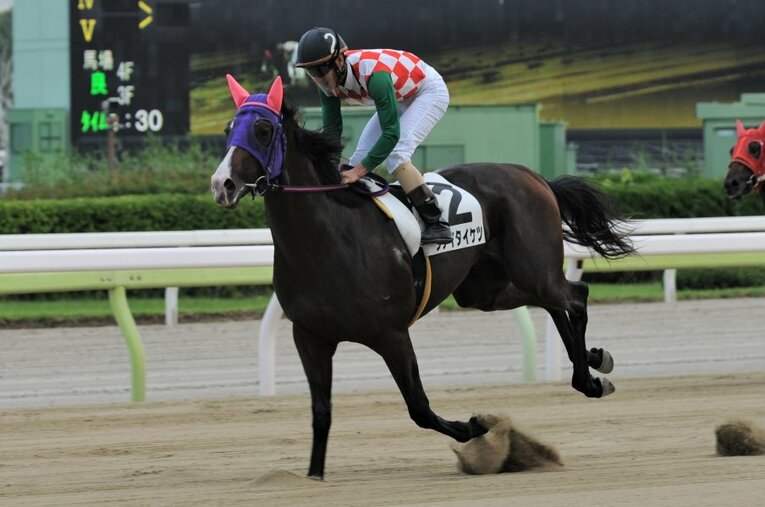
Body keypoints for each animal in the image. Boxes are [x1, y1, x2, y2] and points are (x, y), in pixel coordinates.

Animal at [211, 75, 635, 479]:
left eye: (263, 129)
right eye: (230, 128)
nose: (222, 185)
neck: (328, 238)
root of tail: (532, 174)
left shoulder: (391, 333)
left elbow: (419, 407)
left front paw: (476, 427)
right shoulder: (310, 337)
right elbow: (321, 413)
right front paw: (313, 476)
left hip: (532, 268)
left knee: (575, 295)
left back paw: (588, 378)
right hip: (485, 290)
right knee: (556, 303)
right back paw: (594, 360)